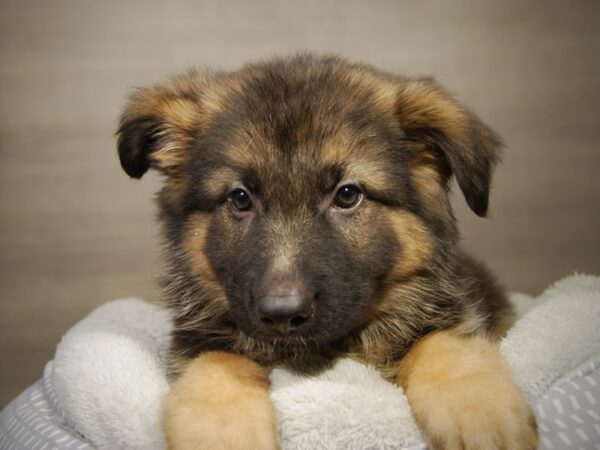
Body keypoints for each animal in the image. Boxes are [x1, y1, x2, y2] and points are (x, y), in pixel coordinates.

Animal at [117, 54, 540, 448]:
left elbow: (442, 343)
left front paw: (478, 409)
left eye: (348, 195)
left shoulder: (454, 312)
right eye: (240, 198)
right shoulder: (195, 340)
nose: (282, 314)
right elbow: (215, 363)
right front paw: (221, 431)